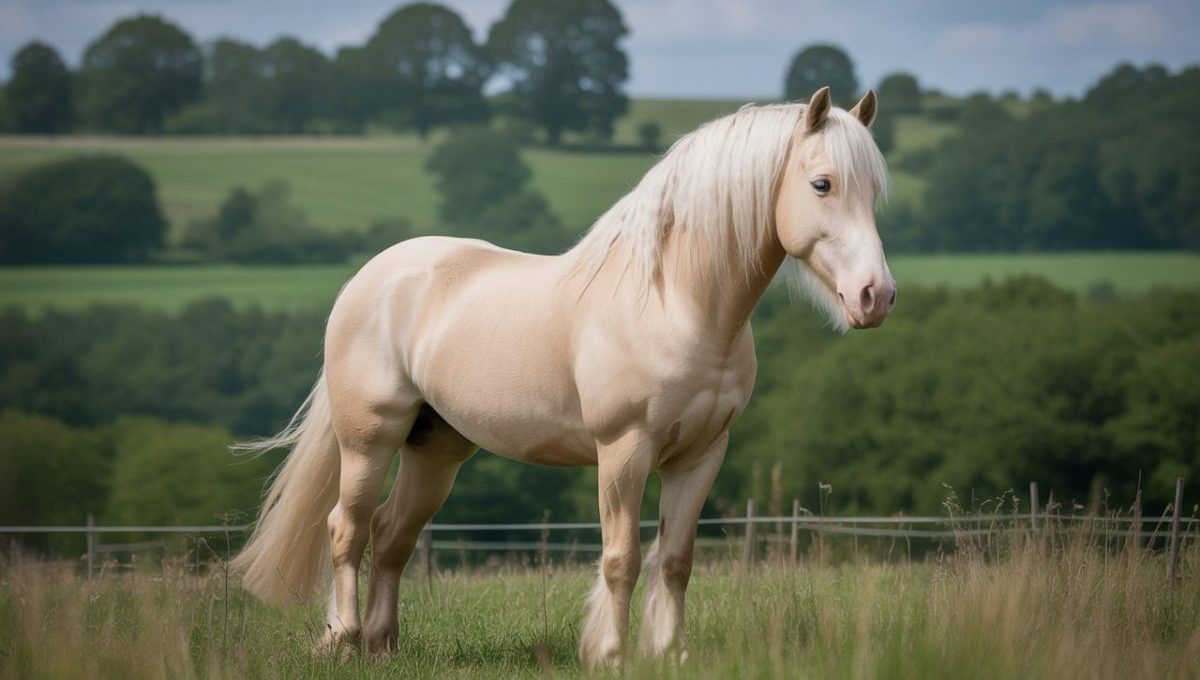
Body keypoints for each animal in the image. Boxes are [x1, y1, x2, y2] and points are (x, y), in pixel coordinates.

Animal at [230, 85, 895, 667]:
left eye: (874, 193)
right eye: (822, 184)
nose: (876, 297)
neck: (676, 302)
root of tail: (370, 277)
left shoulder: (702, 454)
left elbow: (676, 560)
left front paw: (670, 653)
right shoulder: (624, 449)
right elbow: (622, 558)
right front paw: (612, 654)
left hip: (436, 449)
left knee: (392, 534)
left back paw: (382, 644)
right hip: (368, 439)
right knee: (347, 528)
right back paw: (342, 639)